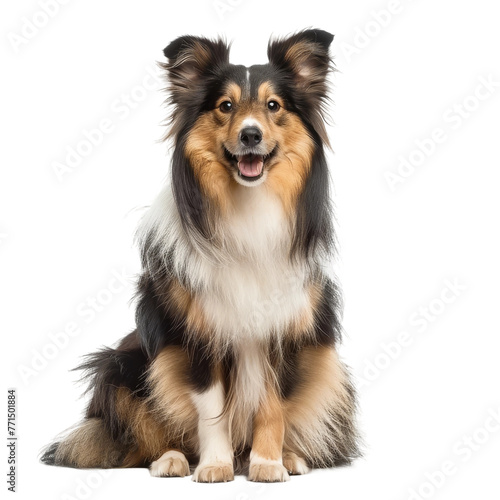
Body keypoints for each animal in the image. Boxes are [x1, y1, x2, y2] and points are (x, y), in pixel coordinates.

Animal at [40, 28, 360, 484]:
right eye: (225, 106)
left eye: (273, 106)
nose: (250, 135)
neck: (247, 207)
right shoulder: (198, 335)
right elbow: (210, 411)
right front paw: (214, 466)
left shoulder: (285, 331)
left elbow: (272, 407)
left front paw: (267, 463)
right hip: (121, 365)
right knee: (153, 430)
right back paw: (172, 459)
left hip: (325, 364)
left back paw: (291, 457)